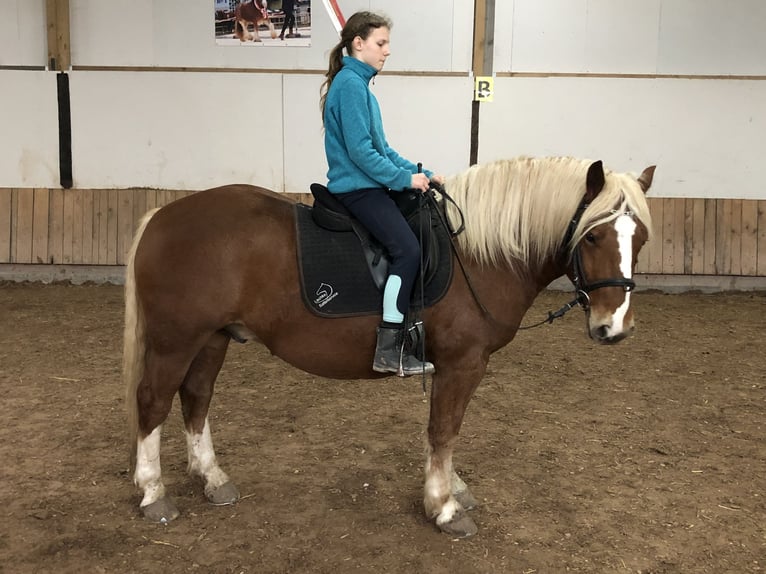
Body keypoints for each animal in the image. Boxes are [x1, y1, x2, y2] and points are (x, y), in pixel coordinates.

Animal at [123, 156, 655, 537]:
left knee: (196, 398)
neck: (481, 253)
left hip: (212, 339)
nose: (614, 327)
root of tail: (162, 215)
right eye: (594, 237)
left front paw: (451, 489)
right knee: (153, 402)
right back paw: (153, 493)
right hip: (176, 340)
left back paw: (211, 478)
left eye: (641, 239)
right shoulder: (463, 364)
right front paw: (443, 507)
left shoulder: (451, 367)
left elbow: (440, 431)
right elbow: (444, 430)